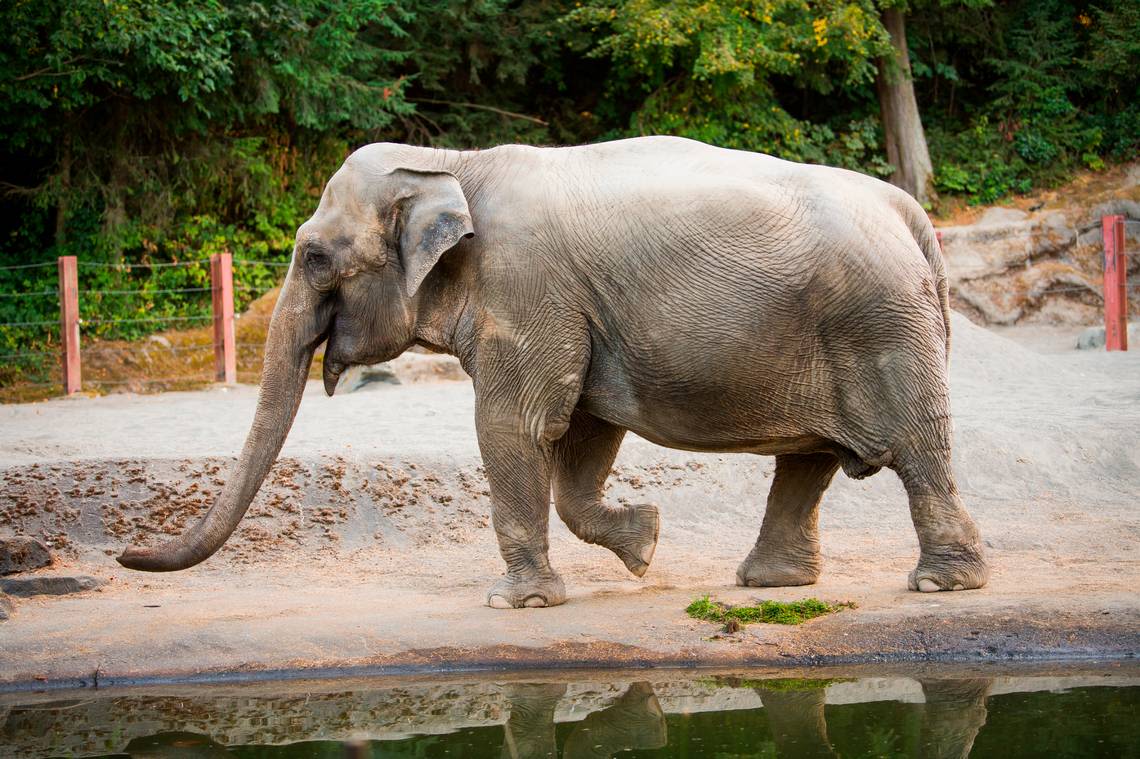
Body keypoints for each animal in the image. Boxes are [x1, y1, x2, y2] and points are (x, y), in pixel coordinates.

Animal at [115, 132, 989, 606]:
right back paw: (770, 583)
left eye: (313, 256)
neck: (448, 161)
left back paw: (940, 585)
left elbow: (518, 424)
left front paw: (516, 602)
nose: (124, 558)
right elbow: (582, 435)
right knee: (808, 458)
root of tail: (909, 212)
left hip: (881, 325)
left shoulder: (526, 288)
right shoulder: (577, 312)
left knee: (916, 449)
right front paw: (646, 542)